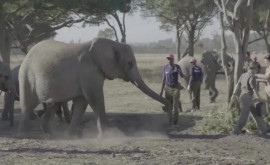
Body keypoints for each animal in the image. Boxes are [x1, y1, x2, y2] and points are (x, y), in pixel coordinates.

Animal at [19, 37, 170, 137]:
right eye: (130, 63)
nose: (166, 107)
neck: (112, 43)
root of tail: (28, 53)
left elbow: (82, 102)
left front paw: (71, 136)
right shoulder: (89, 71)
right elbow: (95, 98)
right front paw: (112, 135)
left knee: (53, 103)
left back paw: (49, 134)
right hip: (25, 74)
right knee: (27, 104)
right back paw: (26, 134)